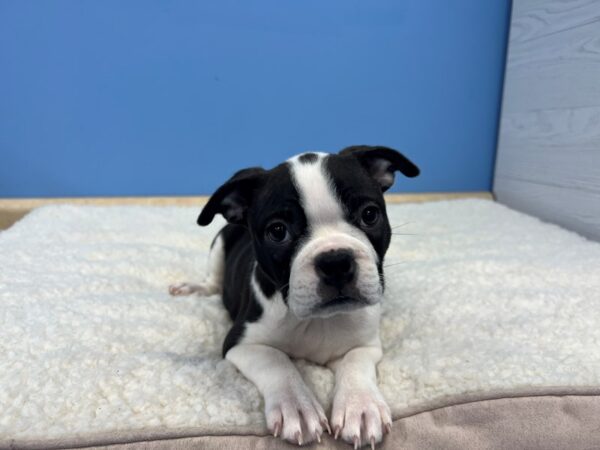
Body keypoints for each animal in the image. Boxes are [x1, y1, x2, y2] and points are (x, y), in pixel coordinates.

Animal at [170, 146, 418, 448]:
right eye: (278, 231)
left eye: (370, 215)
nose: (336, 261)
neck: (318, 320)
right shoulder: (241, 343)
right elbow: (277, 361)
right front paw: (297, 406)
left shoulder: (366, 344)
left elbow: (355, 364)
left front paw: (361, 406)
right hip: (220, 243)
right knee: (212, 280)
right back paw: (194, 288)